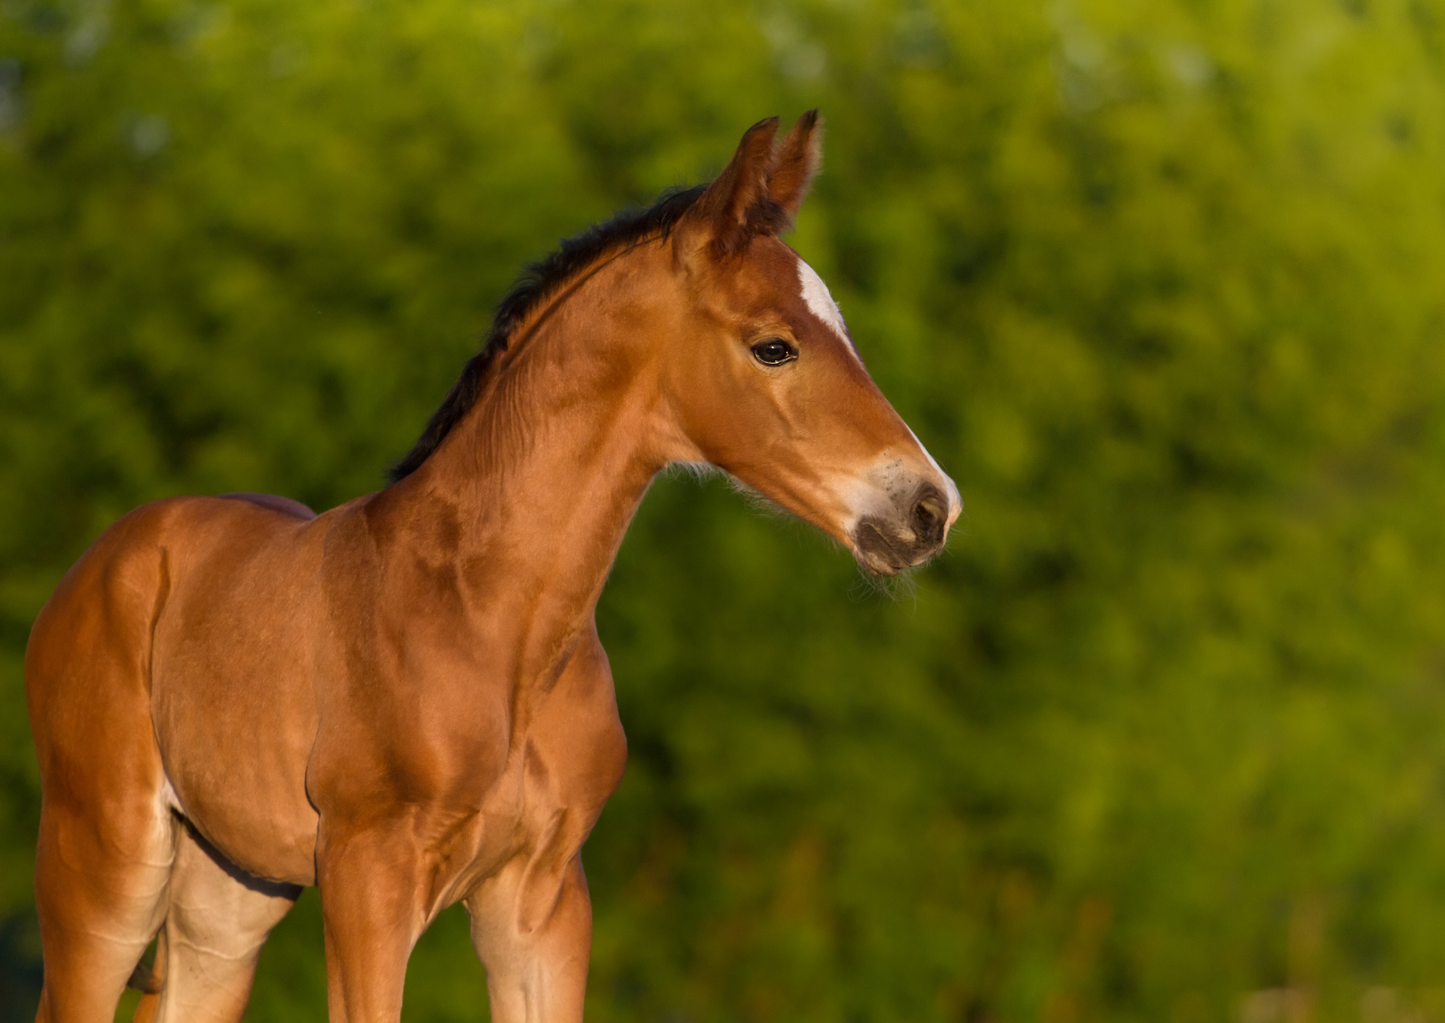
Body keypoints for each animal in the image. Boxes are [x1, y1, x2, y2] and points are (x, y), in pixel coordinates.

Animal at [24, 111, 960, 1023]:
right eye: (772, 346)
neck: (495, 619)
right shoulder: (368, 879)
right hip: (105, 867)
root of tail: (100, 565)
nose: (929, 507)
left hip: (227, 895)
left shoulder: (541, 897)